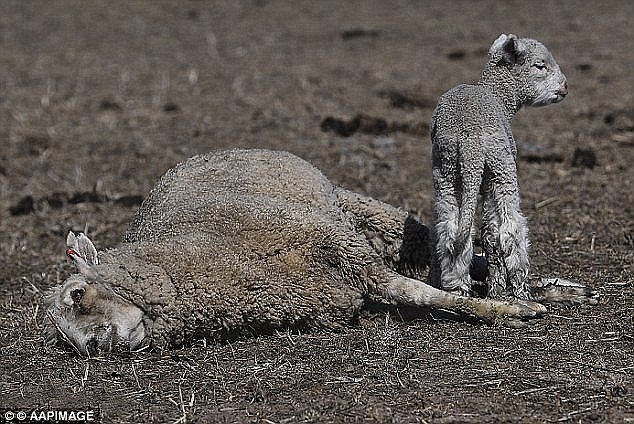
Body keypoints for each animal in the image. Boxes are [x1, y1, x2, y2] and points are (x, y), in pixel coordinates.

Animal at [42, 147, 596, 356]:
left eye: (77, 294)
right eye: (68, 341)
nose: (95, 346)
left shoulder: (346, 251)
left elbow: (429, 294)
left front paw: (511, 309)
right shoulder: (343, 283)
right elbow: (420, 291)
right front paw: (509, 305)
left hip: (358, 212)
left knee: (436, 251)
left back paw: (545, 287)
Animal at [430, 34, 568, 298]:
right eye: (540, 65)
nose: (565, 88)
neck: (500, 96)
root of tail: (470, 138)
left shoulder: (481, 180)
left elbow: (488, 233)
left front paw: (496, 290)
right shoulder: (495, 174)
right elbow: (496, 231)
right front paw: (502, 288)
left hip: (446, 170)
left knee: (451, 228)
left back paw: (457, 286)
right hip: (502, 167)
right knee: (511, 228)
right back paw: (522, 289)